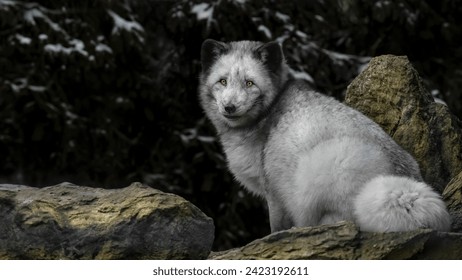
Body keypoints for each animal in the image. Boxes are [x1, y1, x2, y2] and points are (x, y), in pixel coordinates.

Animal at [199, 38, 452, 232]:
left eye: (250, 83)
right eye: (222, 81)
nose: (229, 107)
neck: (265, 116)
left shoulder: (274, 189)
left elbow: (276, 227)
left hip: (324, 163)